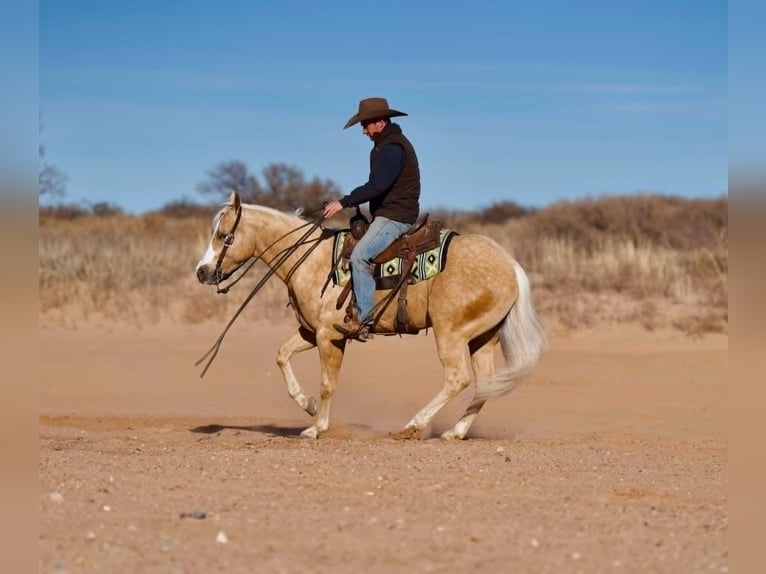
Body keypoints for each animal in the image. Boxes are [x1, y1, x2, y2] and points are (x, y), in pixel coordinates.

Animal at [196, 191, 544, 438]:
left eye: (224, 236)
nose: (202, 272)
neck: (311, 258)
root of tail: (510, 264)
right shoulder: (311, 332)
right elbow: (282, 356)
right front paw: (308, 406)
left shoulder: (329, 335)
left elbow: (327, 383)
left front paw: (316, 427)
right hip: (482, 338)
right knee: (484, 383)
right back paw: (454, 432)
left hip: (452, 333)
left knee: (458, 379)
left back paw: (412, 426)